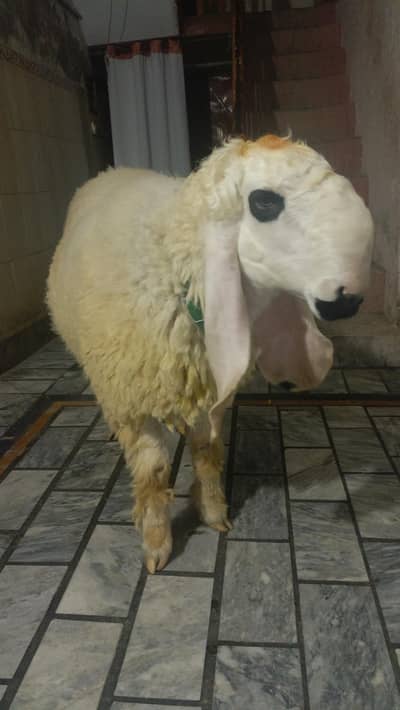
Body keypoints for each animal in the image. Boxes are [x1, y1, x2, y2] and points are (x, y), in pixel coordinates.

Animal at [47, 134, 374, 573]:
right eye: (263, 202)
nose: (346, 301)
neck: (173, 272)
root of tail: (114, 169)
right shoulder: (132, 398)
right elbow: (153, 471)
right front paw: (156, 543)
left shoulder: (210, 386)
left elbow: (207, 450)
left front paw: (214, 513)